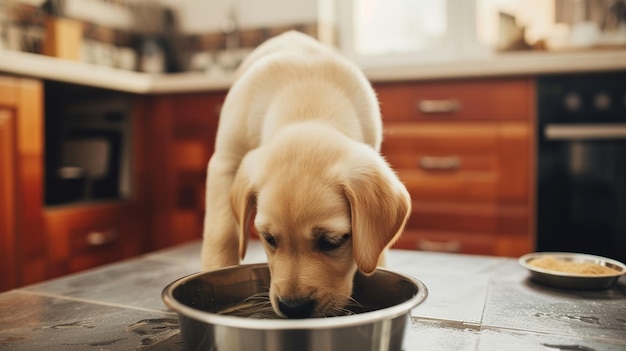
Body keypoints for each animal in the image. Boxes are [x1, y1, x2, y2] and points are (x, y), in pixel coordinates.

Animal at [202, 32, 412, 320]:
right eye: (268, 238)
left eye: (332, 242)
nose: (294, 307)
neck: (307, 103)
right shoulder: (224, 162)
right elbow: (221, 233)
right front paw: (215, 269)